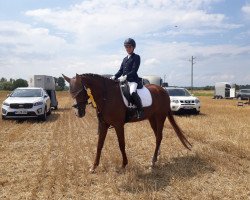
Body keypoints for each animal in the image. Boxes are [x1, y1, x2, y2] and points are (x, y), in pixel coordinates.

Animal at [62, 73, 191, 172]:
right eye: (71, 92)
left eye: (80, 92)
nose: (78, 113)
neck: (107, 96)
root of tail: (163, 90)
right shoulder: (103, 125)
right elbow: (99, 145)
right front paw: (94, 167)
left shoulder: (118, 125)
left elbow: (121, 144)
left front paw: (124, 164)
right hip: (152, 118)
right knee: (157, 136)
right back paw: (157, 156)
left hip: (160, 117)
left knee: (159, 136)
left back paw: (153, 162)